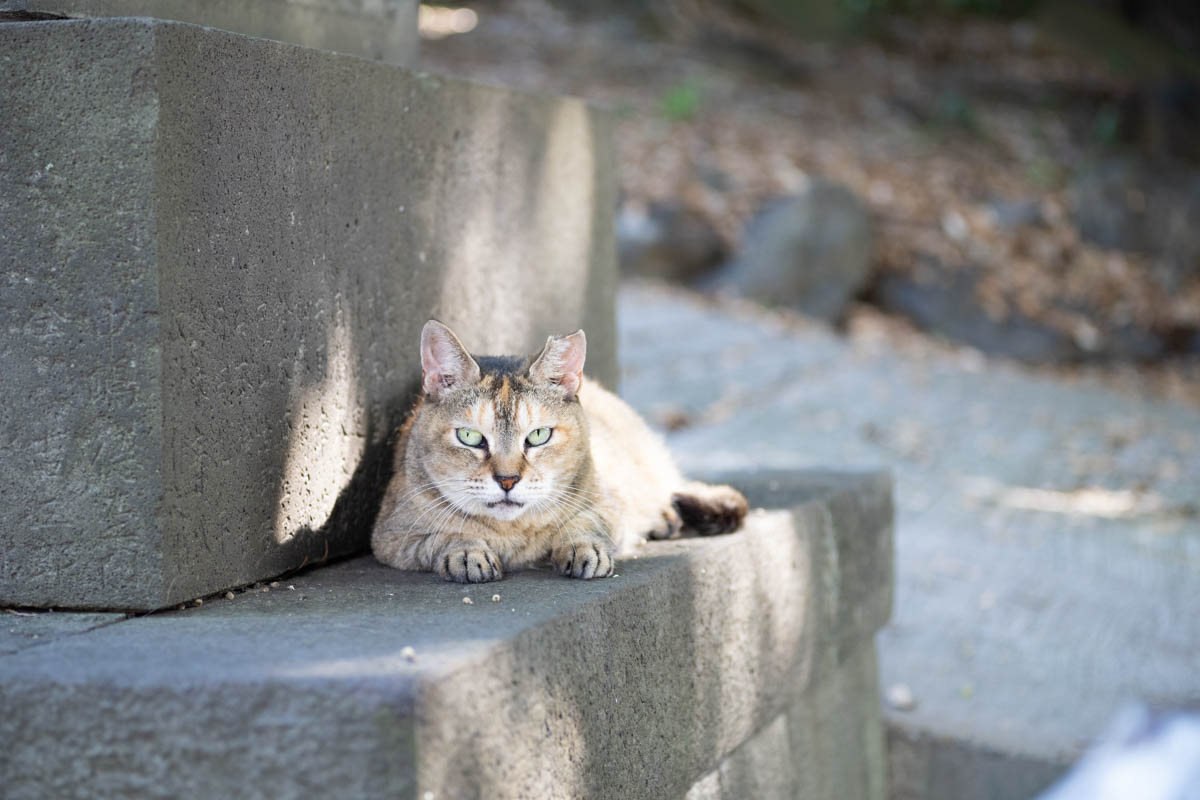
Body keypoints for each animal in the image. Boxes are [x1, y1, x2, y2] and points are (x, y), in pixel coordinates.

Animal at [369, 321, 744, 585]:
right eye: (470, 437)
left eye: (538, 436)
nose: (507, 480)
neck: (513, 534)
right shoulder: (390, 537)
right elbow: (440, 537)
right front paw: (465, 550)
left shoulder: (606, 503)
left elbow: (588, 522)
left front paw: (582, 546)